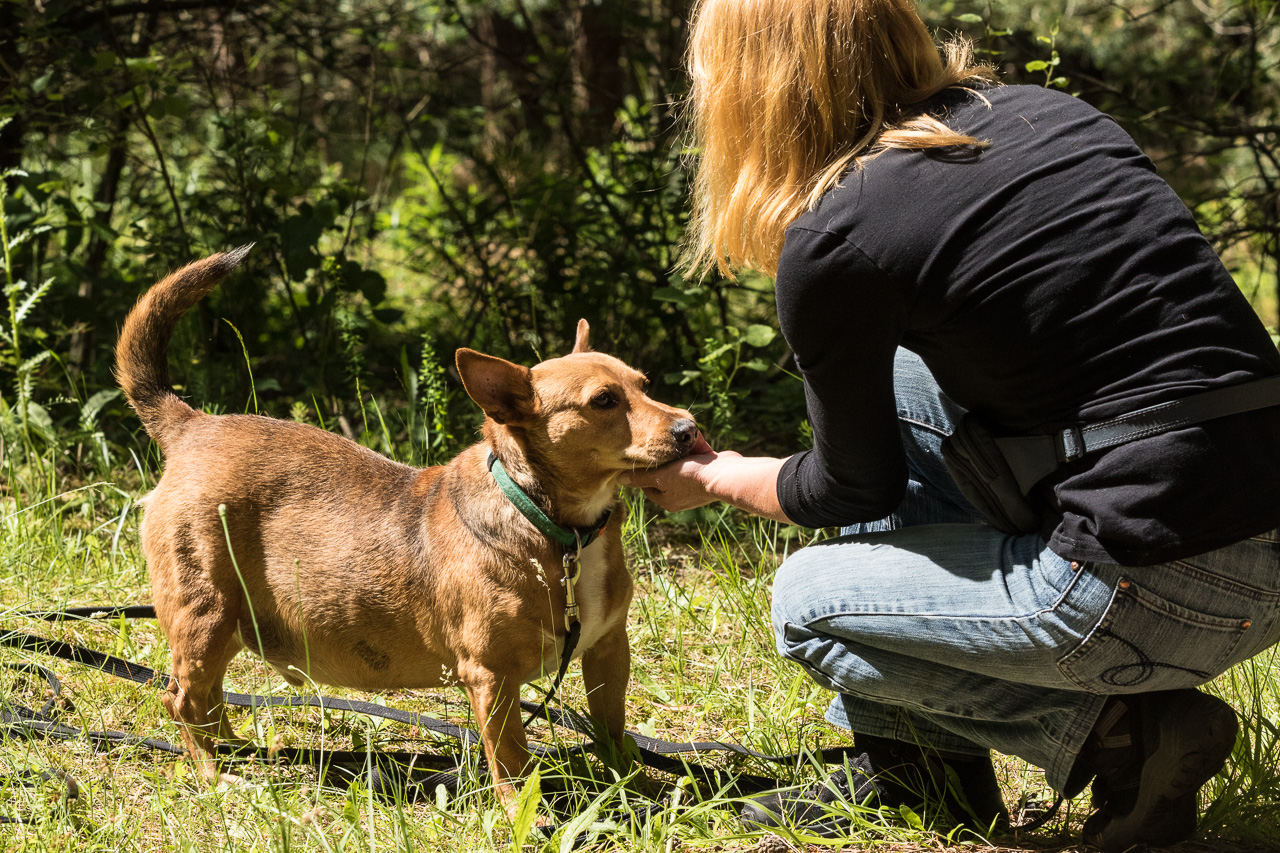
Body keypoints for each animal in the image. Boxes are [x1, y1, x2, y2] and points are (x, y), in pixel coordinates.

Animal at [115, 247, 706, 811]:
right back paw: (215, 776)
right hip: (205, 614)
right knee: (182, 699)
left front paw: (636, 785)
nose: (689, 428)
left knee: (209, 700)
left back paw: (240, 749)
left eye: (644, 385)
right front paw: (527, 815)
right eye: (604, 401)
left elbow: (613, 730)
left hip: (226, 627)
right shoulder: (491, 677)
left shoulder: (608, 649)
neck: (557, 528)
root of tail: (193, 425)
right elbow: (512, 758)